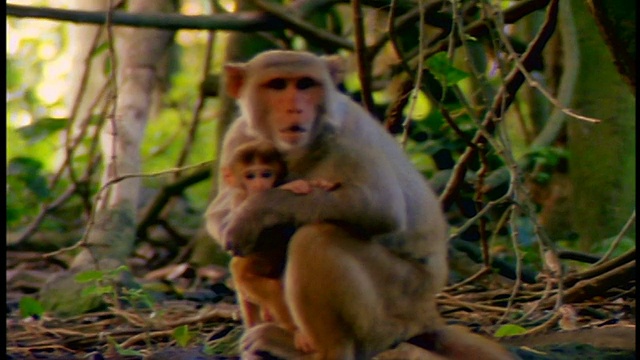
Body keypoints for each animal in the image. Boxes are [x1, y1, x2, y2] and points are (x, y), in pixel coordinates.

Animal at [221, 139, 338, 352]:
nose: (259, 184)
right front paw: (294, 185)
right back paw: (298, 333)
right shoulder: (241, 200)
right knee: (269, 286)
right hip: (247, 284)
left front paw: (317, 183)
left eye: (266, 174)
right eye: (250, 176)